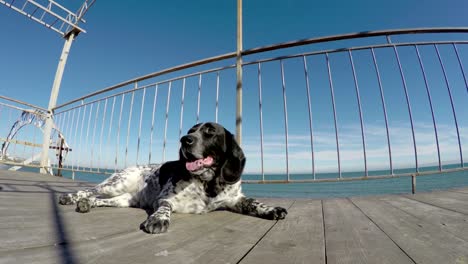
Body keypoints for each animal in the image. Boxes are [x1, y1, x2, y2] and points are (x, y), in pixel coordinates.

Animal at [60, 122, 288, 234]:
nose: (185, 139)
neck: (208, 183)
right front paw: (159, 219)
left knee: (97, 199)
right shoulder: (165, 199)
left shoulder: (235, 199)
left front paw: (271, 209)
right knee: (88, 191)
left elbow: (254, 202)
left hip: (124, 200)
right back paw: (70, 197)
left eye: (210, 131)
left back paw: (85, 204)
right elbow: (165, 208)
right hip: (116, 184)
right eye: (190, 131)